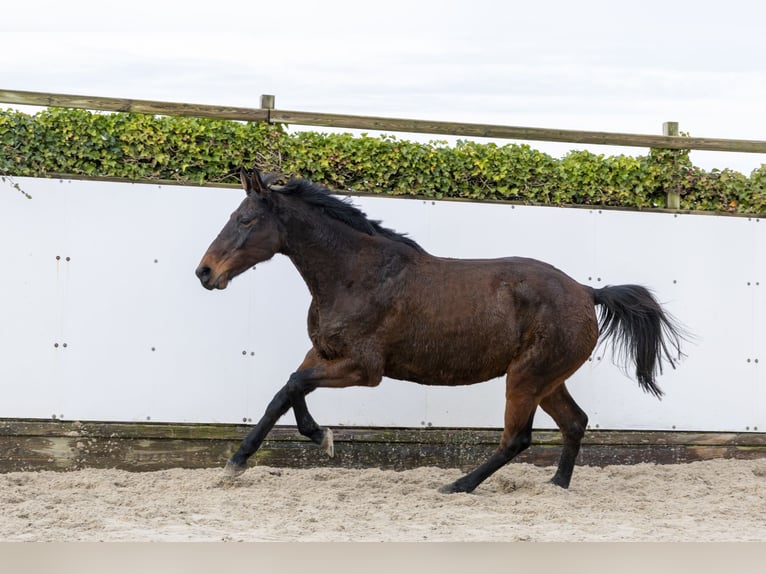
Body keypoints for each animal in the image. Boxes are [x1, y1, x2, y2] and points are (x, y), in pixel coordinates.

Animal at [195, 168, 685, 494]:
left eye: (244, 220)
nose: (205, 272)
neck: (356, 274)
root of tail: (587, 291)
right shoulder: (325, 354)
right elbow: (286, 391)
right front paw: (243, 460)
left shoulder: (364, 369)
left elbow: (294, 384)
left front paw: (318, 438)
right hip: (548, 379)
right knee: (575, 422)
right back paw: (556, 486)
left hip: (526, 377)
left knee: (518, 438)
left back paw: (458, 485)